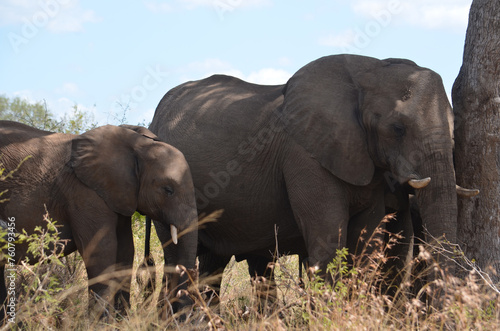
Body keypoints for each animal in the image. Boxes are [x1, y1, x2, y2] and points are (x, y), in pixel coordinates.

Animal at [0, 122, 199, 322]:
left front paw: (120, 321)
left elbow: (125, 250)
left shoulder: (118, 194)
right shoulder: (84, 191)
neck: (136, 145)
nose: (182, 314)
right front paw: (101, 323)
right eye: (168, 190)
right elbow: (102, 250)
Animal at [147, 55, 472, 304]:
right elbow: (328, 239)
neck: (369, 70)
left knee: (214, 261)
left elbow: (367, 238)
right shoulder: (304, 155)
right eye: (398, 128)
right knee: (178, 256)